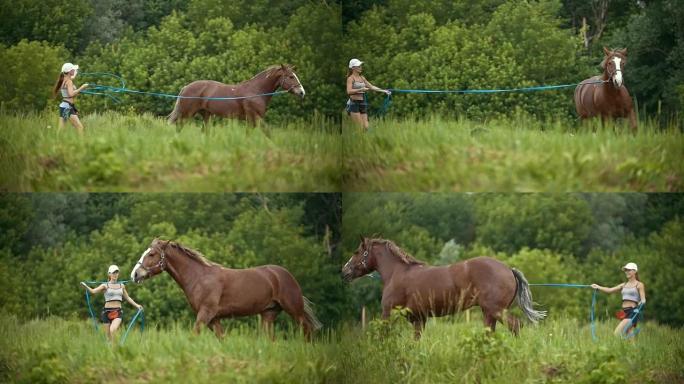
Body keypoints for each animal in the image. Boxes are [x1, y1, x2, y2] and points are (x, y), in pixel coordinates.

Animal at [132, 238, 324, 340]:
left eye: (152, 254)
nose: (135, 274)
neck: (199, 278)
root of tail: (284, 274)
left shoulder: (206, 314)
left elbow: (195, 334)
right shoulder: (213, 319)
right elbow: (221, 338)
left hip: (294, 310)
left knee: (308, 331)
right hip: (268, 314)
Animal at [168, 64, 304, 126]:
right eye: (291, 76)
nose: (302, 92)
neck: (256, 91)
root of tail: (186, 87)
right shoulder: (255, 118)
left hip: (206, 115)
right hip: (187, 114)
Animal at [340, 237, 544, 340]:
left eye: (357, 252)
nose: (344, 271)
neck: (397, 273)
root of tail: (509, 269)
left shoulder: (388, 313)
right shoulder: (419, 319)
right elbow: (416, 340)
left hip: (496, 310)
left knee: (516, 326)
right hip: (489, 313)